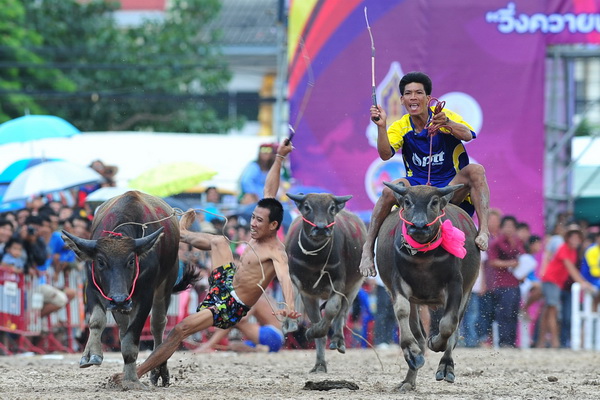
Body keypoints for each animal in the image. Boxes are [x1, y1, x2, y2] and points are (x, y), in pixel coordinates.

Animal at [62, 191, 197, 390]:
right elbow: (97, 321)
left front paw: (132, 380)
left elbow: (131, 341)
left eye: (131, 261)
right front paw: (91, 354)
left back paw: (159, 371)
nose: (119, 299)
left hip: (165, 284)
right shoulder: (93, 288)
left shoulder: (144, 296)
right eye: (100, 261)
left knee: (158, 324)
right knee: (122, 328)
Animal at [284, 192, 366, 374]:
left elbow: (331, 310)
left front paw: (311, 332)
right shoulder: (296, 280)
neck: (315, 259)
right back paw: (320, 364)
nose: (321, 228)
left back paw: (337, 340)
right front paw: (290, 324)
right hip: (311, 296)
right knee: (318, 322)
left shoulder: (339, 283)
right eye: (307, 206)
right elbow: (290, 297)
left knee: (341, 313)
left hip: (355, 285)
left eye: (332, 207)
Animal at [378, 183, 480, 392]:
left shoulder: (456, 285)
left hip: (468, 291)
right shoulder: (397, 283)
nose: (418, 225)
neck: (423, 258)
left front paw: (436, 343)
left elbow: (448, 324)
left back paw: (446, 367)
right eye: (407, 202)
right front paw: (412, 353)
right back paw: (409, 378)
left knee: (455, 330)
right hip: (414, 301)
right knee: (418, 333)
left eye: (434, 202)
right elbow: (402, 312)